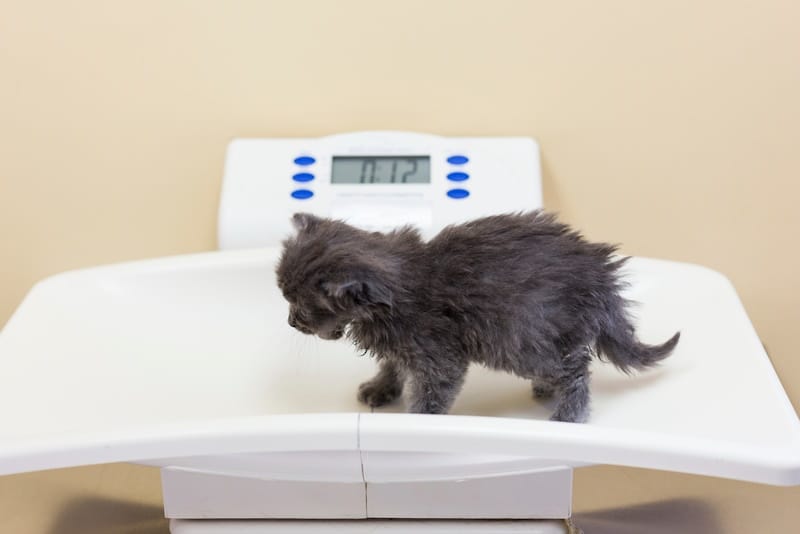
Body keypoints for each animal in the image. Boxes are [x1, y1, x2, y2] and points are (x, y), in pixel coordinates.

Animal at [274, 211, 676, 426]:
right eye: (285, 296)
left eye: (302, 308)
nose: (291, 322)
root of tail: (599, 273)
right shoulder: (403, 346)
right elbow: (391, 363)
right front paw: (380, 388)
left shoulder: (438, 356)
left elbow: (432, 393)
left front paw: (417, 420)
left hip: (523, 337)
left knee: (576, 369)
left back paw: (568, 413)